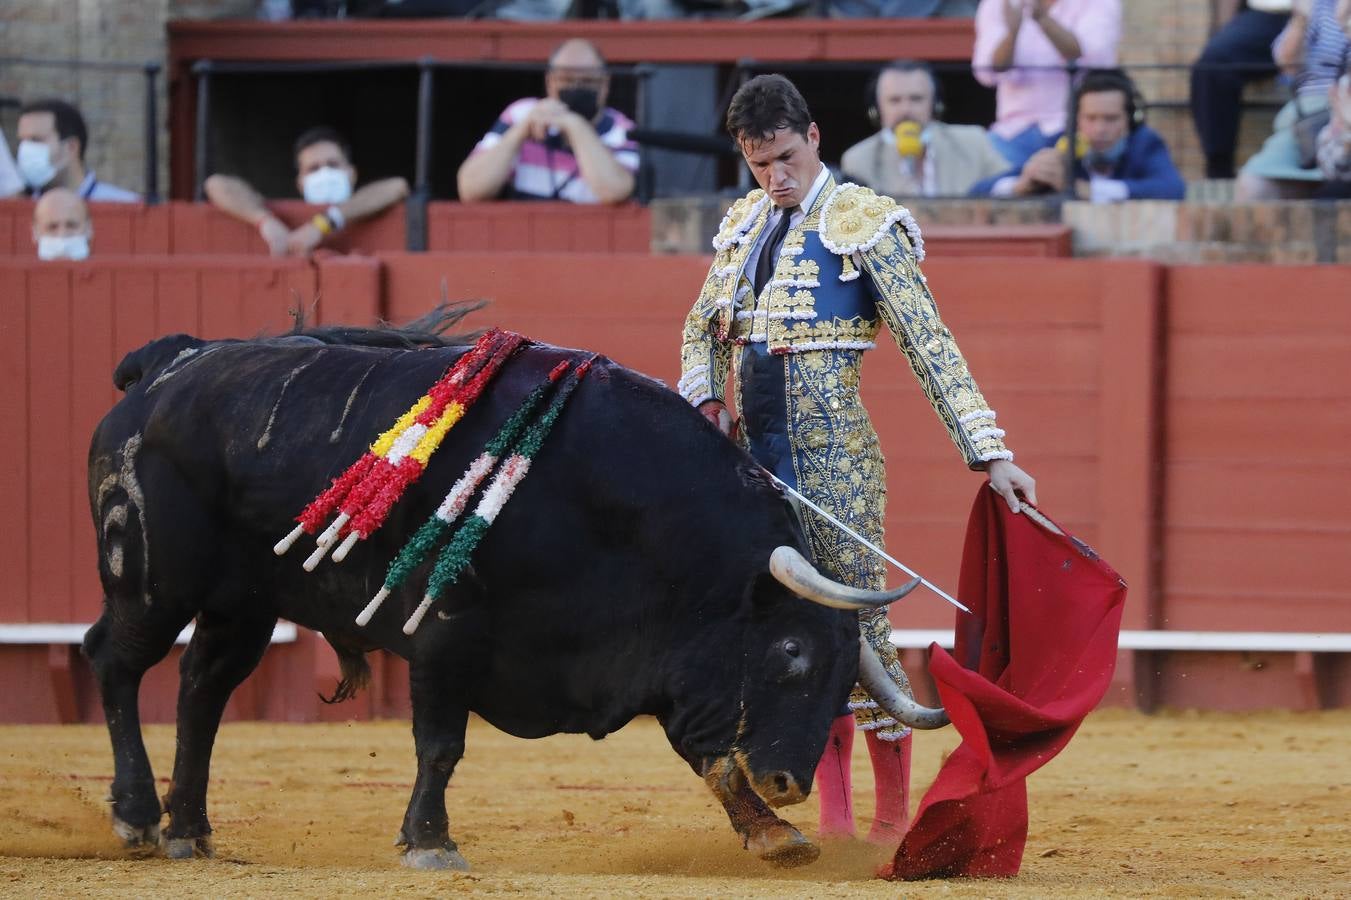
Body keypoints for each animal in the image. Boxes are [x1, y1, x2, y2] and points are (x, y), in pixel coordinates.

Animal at [81, 310, 951, 870]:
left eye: (841, 684)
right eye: (789, 654)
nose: (788, 784)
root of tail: (167, 366)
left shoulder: (669, 657)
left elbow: (706, 754)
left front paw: (774, 835)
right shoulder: (445, 631)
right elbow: (441, 743)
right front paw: (430, 843)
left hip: (244, 605)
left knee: (202, 690)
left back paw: (189, 830)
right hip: (153, 583)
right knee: (116, 662)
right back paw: (136, 818)